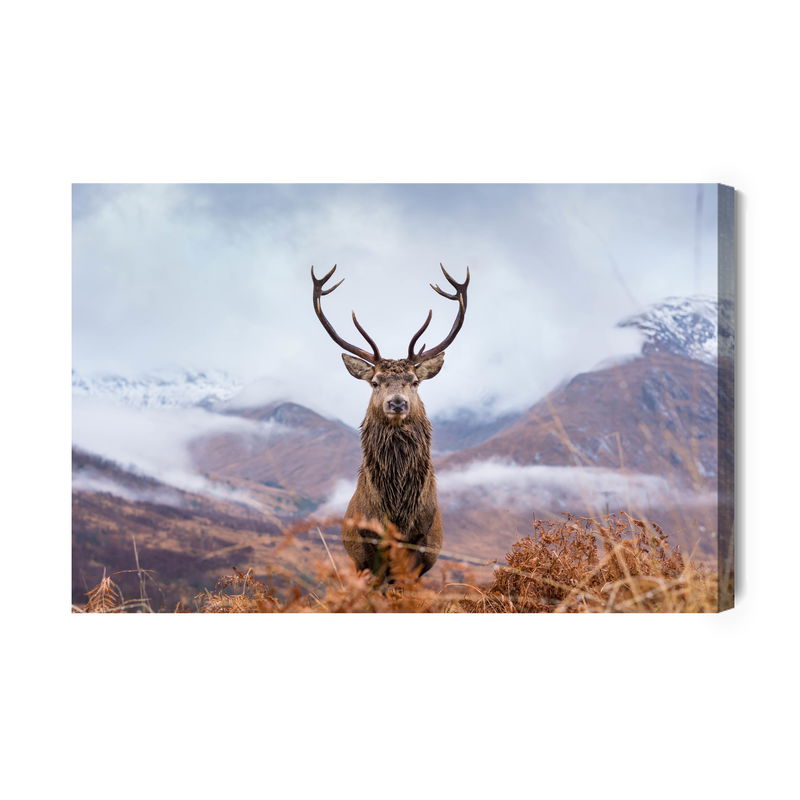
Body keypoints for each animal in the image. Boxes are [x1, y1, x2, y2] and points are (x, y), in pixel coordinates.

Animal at [311, 263, 470, 582]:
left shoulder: (419, 544)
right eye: (375, 382)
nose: (397, 403)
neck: (397, 513)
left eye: (415, 381)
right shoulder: (368, 547)